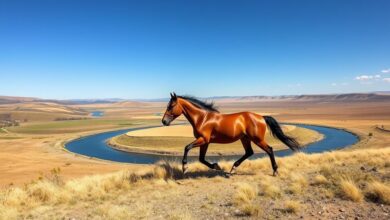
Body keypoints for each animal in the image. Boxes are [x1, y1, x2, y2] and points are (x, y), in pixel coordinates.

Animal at [161, 92, 298, 175]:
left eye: (171, 106)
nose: (164, 121)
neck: (202, 118)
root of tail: (261, 117)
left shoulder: (203, 139)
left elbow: (187, 147)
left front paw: (184, 168)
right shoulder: (205, 142)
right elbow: (201, 158)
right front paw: (216, 166)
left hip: (257, 139)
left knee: (269, 149)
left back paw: (275, 171)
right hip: (245, 138)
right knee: (249, 152)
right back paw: (233, 168)